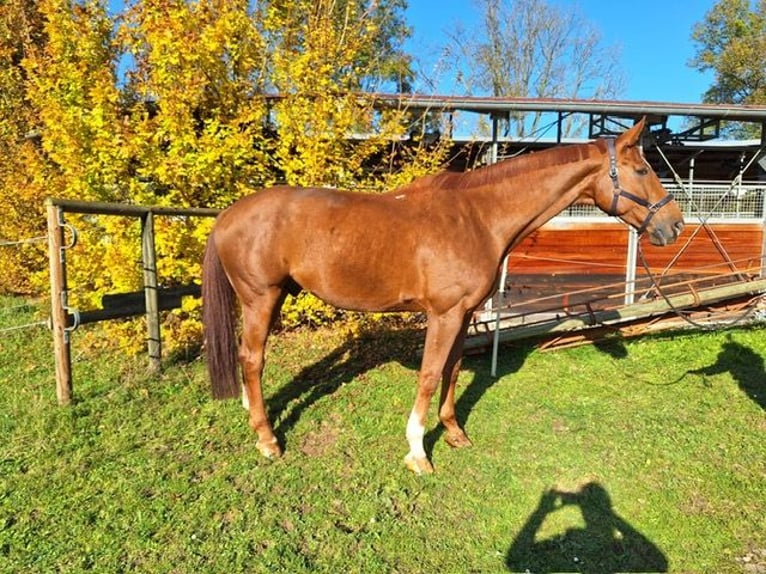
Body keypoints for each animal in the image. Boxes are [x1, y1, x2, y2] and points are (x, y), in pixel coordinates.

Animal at [202, 119, 684, 474]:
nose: (675, 226)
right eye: (643, 170)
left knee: (250, 359)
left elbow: (452, 371)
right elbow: (430, 375)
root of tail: (228, 214)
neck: (477, 217)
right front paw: (417, 451)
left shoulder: (464, 314)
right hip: (261, 297)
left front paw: (453, 433)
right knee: (253, 359)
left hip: (274, 296)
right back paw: (267, 438)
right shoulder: (444, 314)